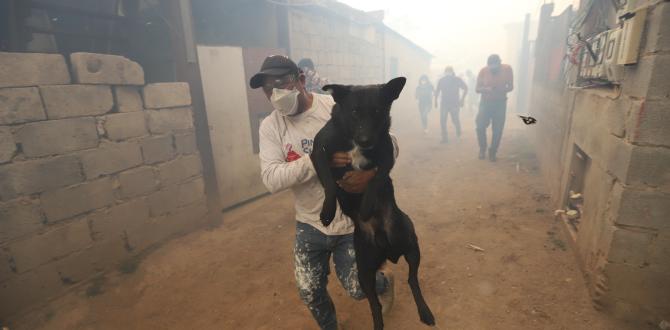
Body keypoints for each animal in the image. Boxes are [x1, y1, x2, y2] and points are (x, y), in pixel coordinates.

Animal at [312, 76, 436, 328]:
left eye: (378, 111)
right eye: (354, 111)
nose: (366, 140)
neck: (353, 140)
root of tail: (387, 248)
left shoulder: (387, 154)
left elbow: (375, 179)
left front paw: (367, 206)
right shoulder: (318, 151)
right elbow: (329, 183)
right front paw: (328, 212)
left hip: (412, 246)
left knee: (413, 281)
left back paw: (425, 312)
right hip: (364, 273)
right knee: (375, 305)